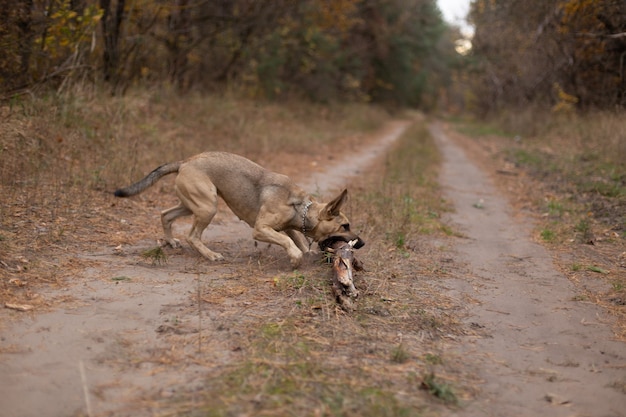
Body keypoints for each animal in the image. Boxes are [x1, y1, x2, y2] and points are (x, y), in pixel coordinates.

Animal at [114, 150, 364, 266]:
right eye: (345, 225)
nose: (361, 243)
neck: (301, 208)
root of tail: (185, 162)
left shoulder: (288, 226)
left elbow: (297, 239)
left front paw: (305, 252)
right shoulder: (261, 229)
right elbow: (287, 240)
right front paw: (295, 257)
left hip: (192, 204)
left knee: (166, 215)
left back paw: (171, 241)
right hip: (208, 206)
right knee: (193, 236)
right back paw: (211, 255)